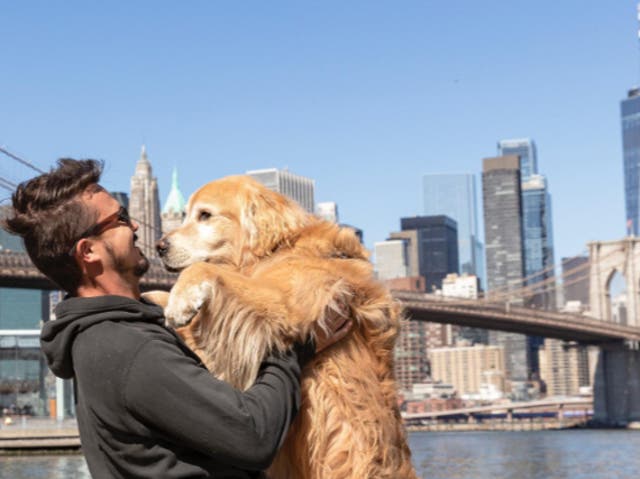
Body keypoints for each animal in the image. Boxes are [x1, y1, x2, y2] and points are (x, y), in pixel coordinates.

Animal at [151, 177, 420, 479]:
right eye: (185, 215)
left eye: (205, 215)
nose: (159, 246)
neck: (282, 247)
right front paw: (158, 298)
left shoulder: (280, 304)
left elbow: (207, 272)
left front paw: (180, 301)